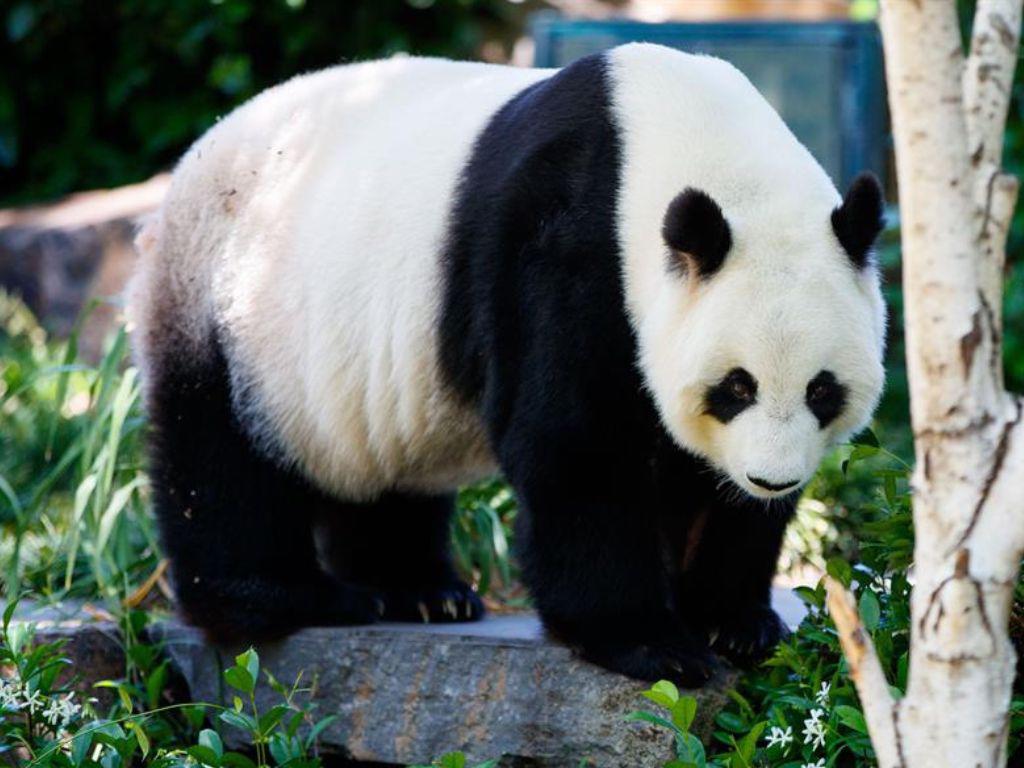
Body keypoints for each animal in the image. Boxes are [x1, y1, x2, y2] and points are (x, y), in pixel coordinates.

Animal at [129, 42, 886, 685]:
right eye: (736, 386)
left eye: (822, 391)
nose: (770, 477)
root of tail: (194, 157)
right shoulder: (565, 247)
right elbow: (576, 443)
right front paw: (649, 642)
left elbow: (703, 482)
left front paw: (735, 624)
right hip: (230, 303)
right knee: (223, 459)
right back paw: (295, 598)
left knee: (379, 475)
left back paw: (422, 592)